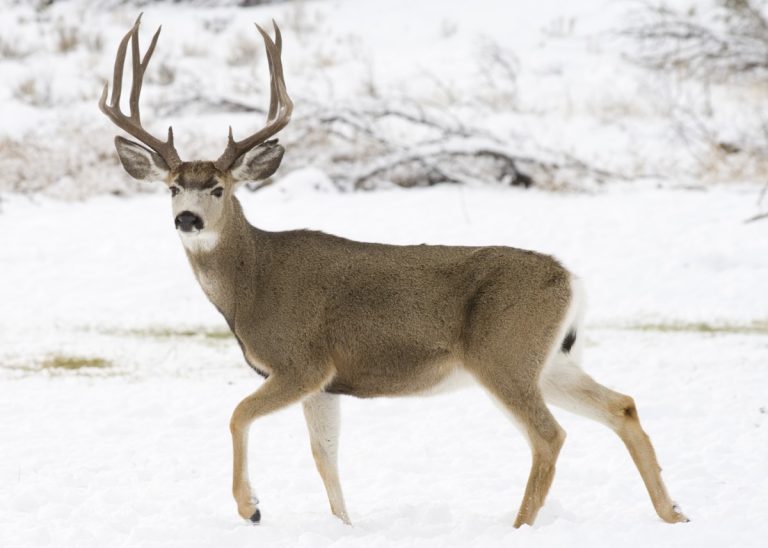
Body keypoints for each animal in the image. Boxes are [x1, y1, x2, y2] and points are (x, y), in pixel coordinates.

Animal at [99, 17, 688, 528]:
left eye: (219, 188)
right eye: (173, 186)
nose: (188, 219)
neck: (251, 283)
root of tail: (570, 279)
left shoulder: (301, 362)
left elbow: (238, 415)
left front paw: (252, 508)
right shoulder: (327, 383)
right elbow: (325, 456)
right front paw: (345, 526)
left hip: (504, 354)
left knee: (550, 435)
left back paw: (520, 525)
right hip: (552, 359)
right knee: (622, 405)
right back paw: (674, 512)